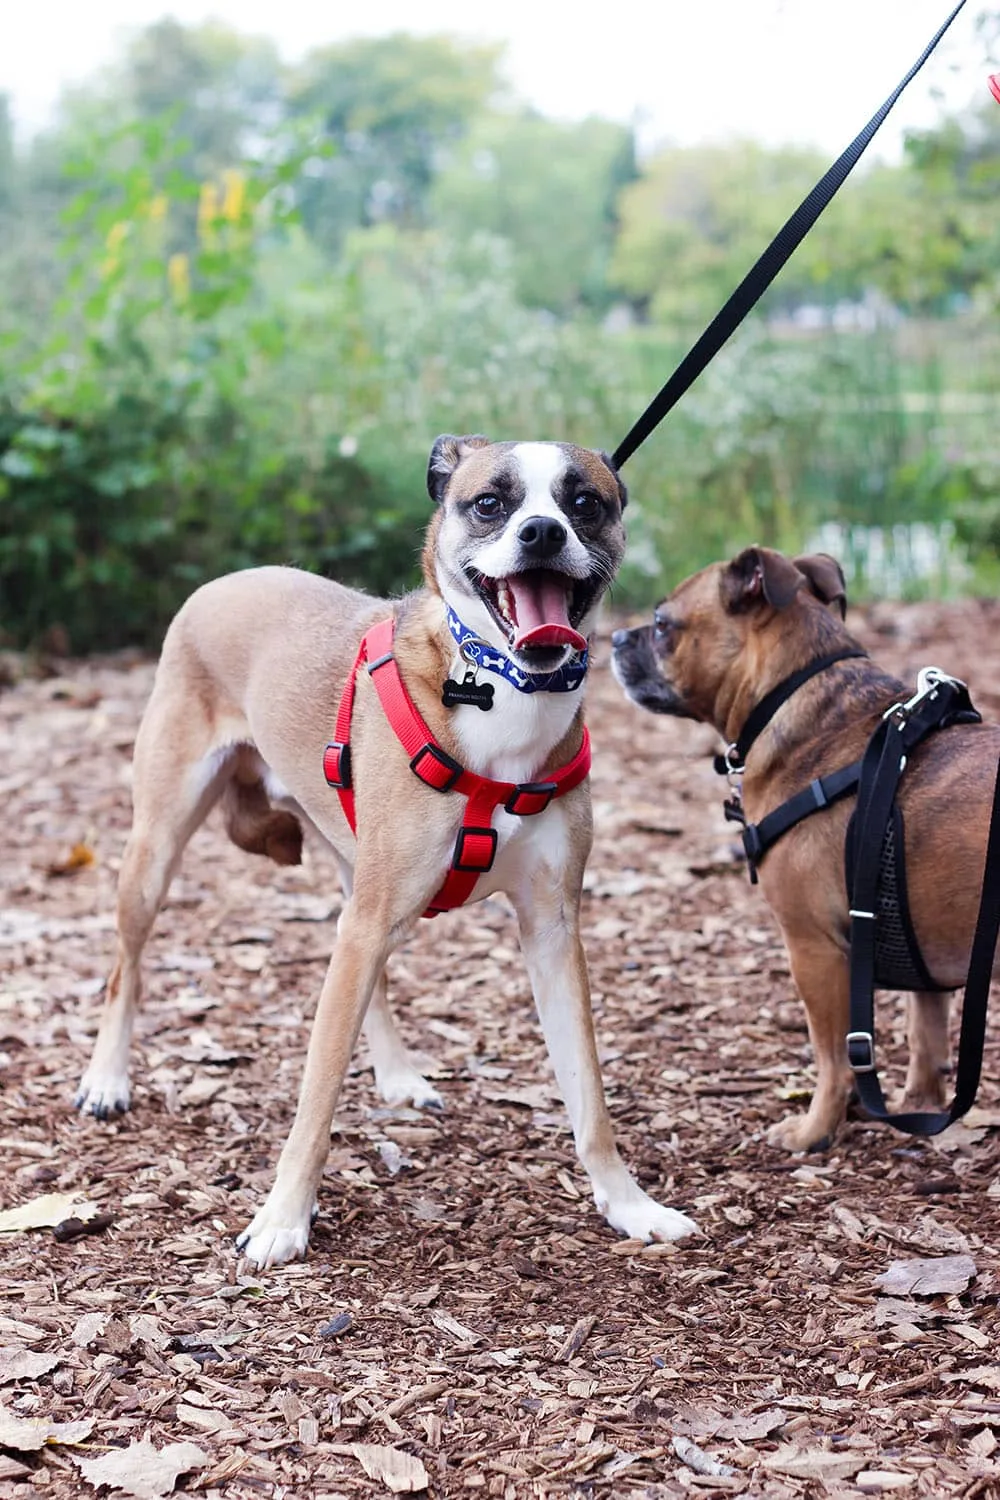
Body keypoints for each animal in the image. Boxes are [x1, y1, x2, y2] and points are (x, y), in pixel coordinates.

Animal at [80, 438, 695, 1266]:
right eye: (490, 503)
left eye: (583, 503)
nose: (541, 533)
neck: (498, 693)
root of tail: (223, 582)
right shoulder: (372, 923)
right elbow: (314, 1101)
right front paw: (281, 1220)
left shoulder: (551, 928)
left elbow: (590, 1096)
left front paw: (630, 1206)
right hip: (157, 849)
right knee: (127, 964)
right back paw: (106, 1081)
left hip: (356, 875)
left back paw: (400, 1076)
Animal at [614, 549, 995, 1146]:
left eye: (659, 624)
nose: (613, 638)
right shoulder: (916, 948)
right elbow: (926, 1034)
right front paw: (918, 1110)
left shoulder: (813, 949)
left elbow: (833, 1056)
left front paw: (814, 1131)